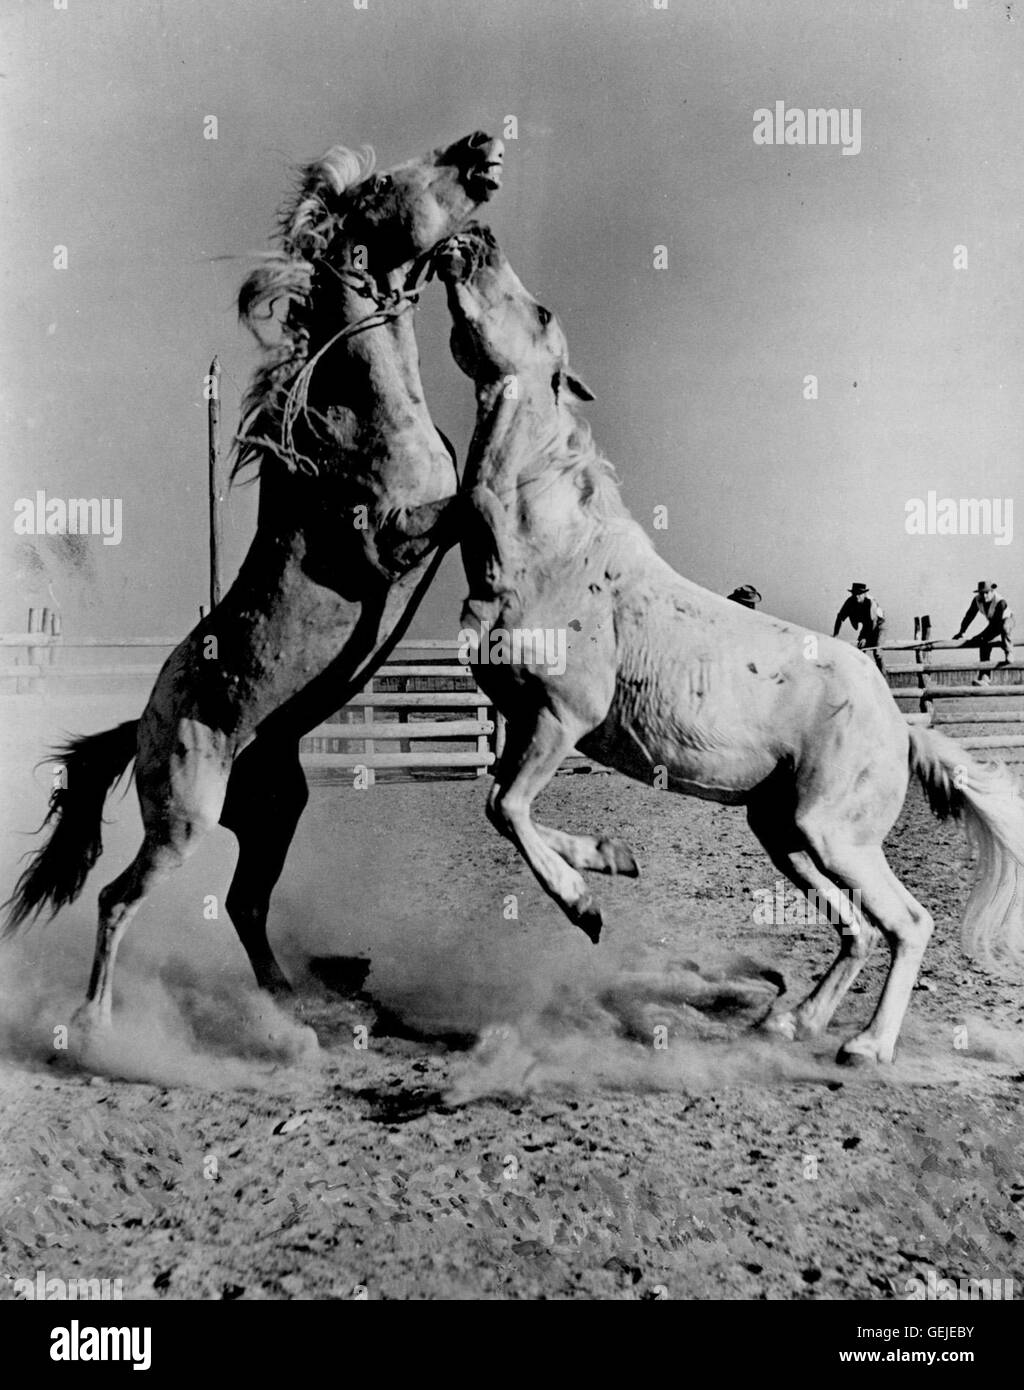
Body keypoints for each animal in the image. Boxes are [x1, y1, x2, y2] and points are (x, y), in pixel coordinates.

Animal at [433, 230, 1022, 1061]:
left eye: (542, 311)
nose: (470, 240)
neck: (546, 548)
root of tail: (901, 725)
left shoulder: (560, 717)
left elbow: (507, 807)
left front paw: (587, 905)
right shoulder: (522, 721)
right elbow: (499, 803)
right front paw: (612, 858)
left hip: (832, 835)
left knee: (907, 922)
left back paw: (867, 1047)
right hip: (782, 832)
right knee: (855, 929)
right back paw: (789, 1021)